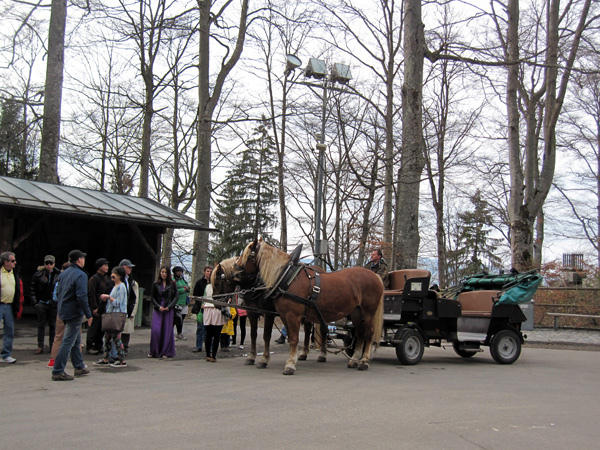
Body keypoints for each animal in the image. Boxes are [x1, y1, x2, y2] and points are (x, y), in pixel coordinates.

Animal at [234, 239, 384, 376]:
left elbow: (292, 338)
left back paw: (364, 361)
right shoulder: (283, 315)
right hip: (356, 312)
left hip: (368, 311)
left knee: (368, 333)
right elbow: (289, 337)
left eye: (249, 255)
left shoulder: (291, 315)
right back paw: (353, 360)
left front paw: (290, 365)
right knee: (359, 333)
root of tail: (375, 275)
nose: (234, 271)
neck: (287, 277)